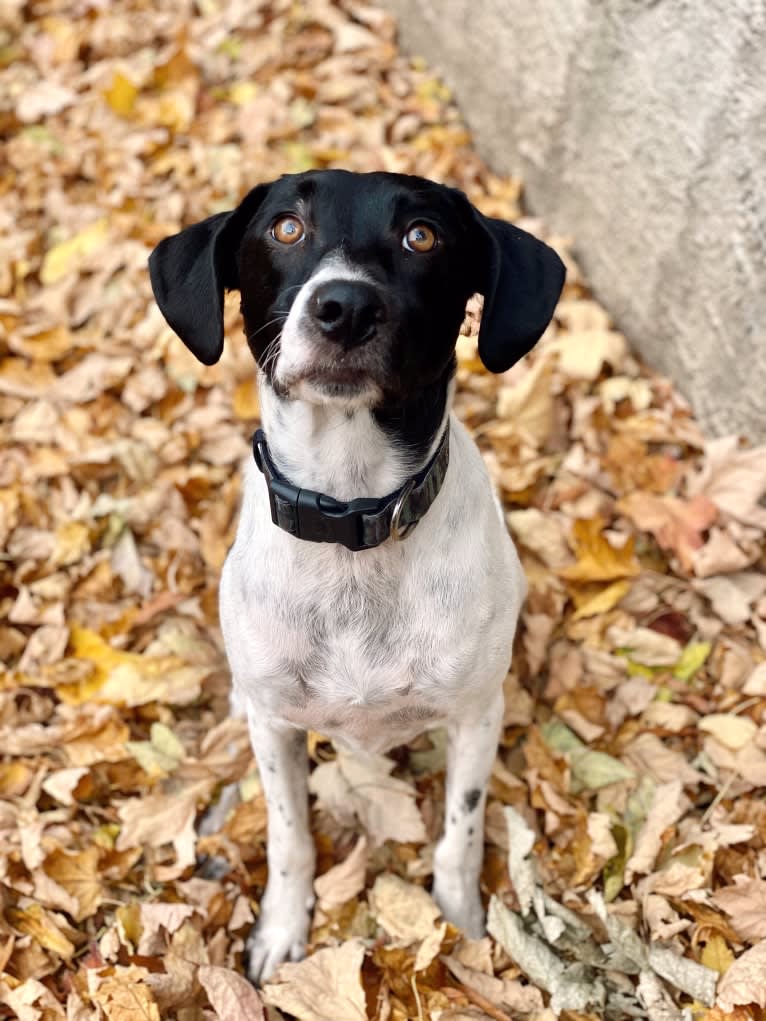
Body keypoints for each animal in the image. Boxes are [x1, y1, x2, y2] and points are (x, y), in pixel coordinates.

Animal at [148, 171, 563, 984]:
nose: (344, 307)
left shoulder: (476, 716)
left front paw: (461, 922)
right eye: (285, 227)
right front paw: (282, 926)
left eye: (423, 236)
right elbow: (289, 836)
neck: (352, 520)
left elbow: (461, 831)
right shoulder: (276, 727)